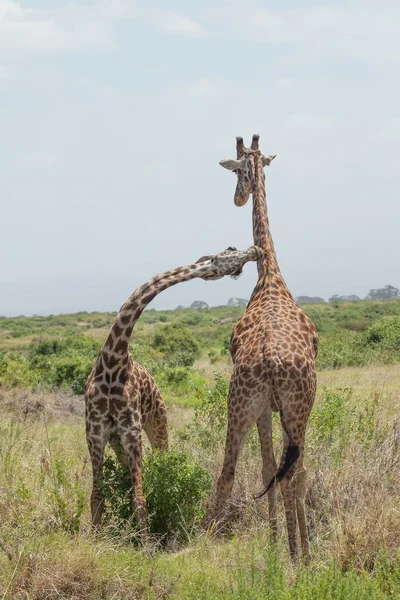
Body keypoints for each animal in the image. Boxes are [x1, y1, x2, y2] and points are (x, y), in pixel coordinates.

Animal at [84, 244, 262, 536]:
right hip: (118, 440)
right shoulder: (95, 433)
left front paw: (145, 544)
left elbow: (139, 499)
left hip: (157, 423)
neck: (112, 363)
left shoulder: (131, 432)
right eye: (231, 254)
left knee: (160, 462)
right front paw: (97, 538)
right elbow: (97, 497)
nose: (254, 251)